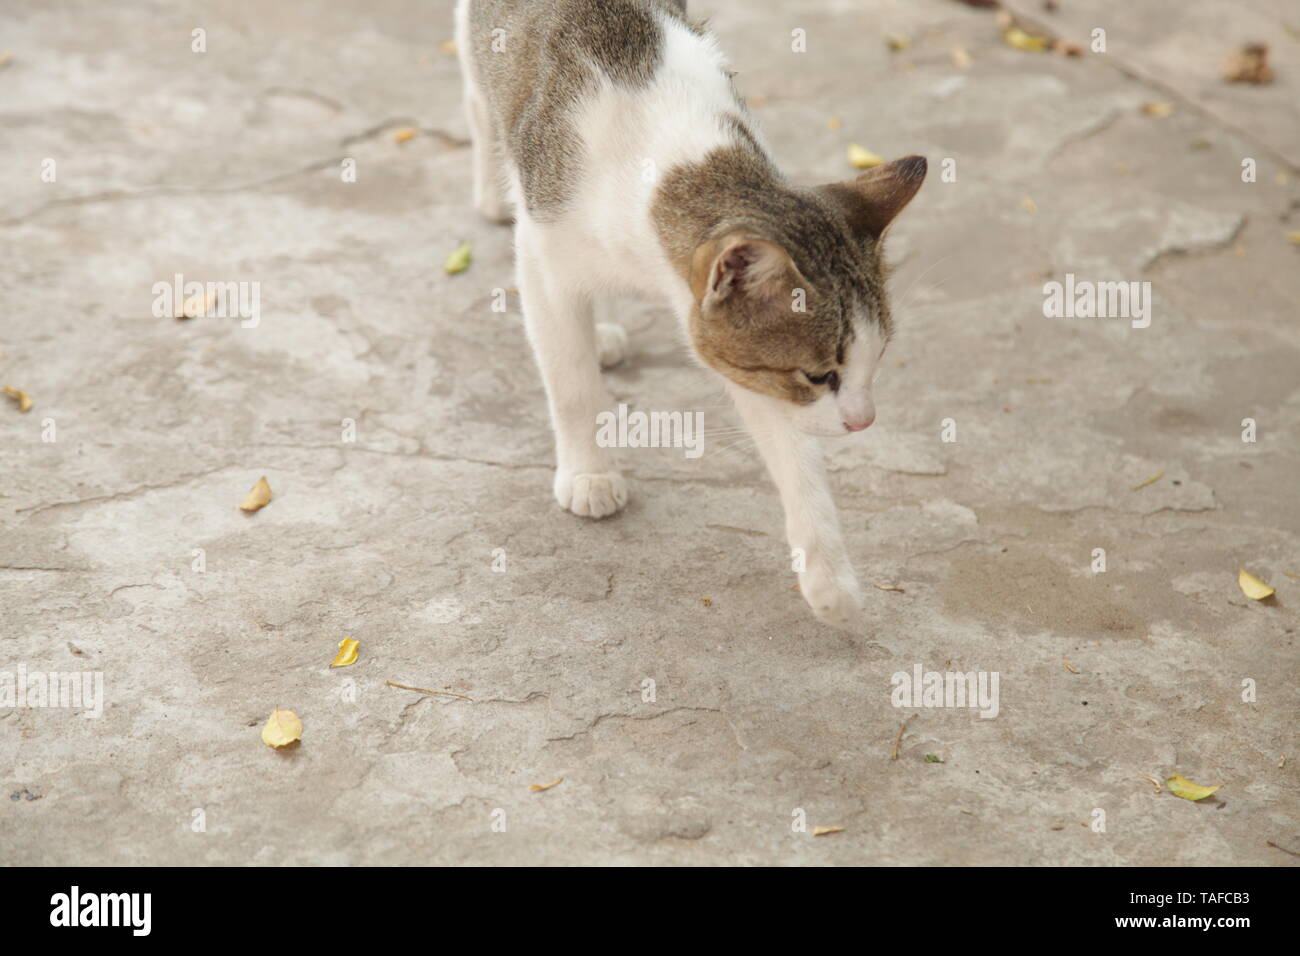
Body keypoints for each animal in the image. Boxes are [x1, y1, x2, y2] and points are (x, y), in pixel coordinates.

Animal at [454, 0, 925, 632]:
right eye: (819, 374)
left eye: (876, 362)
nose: (863, 422)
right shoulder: (541, 253)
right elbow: (571, 384)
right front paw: (588, 472)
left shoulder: (739, 355)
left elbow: (791, 449)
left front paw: (828, 574)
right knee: (479, 98)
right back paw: (491, 186)